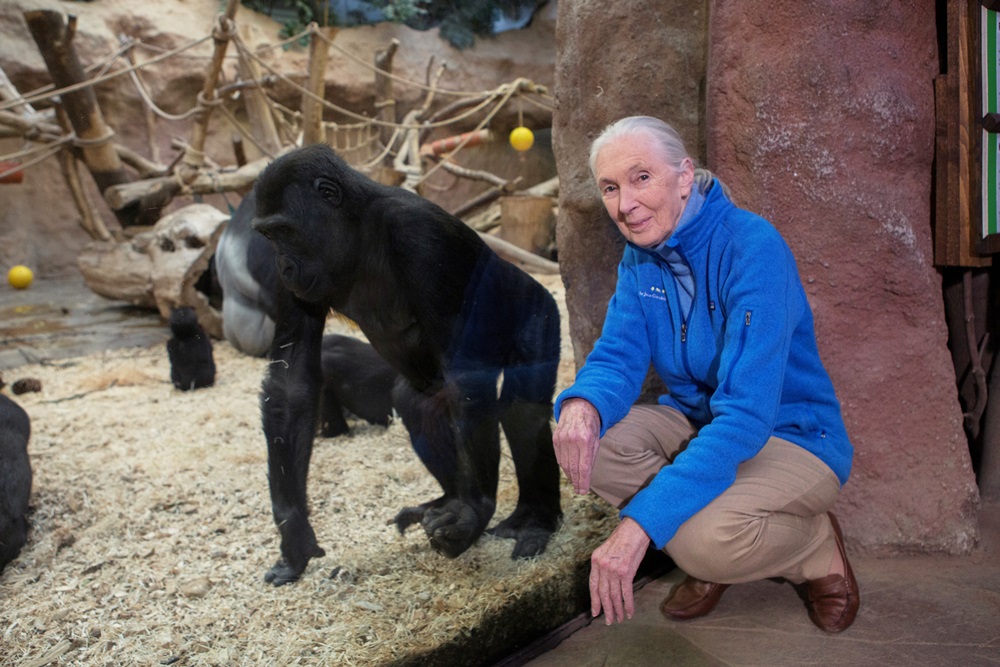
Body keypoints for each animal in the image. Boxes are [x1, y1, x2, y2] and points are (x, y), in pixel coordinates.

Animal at [250, 145, 564, 584]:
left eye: (285, 232)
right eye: (269, 236)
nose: (283, 264)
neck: (358, 230)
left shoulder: (420, 236)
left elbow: (468, 374)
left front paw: (475, 510)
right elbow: (291, 382)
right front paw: (294, 534)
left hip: (538, 310)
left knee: (522, 413)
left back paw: (534, 517)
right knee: (416, 404)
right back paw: (446, 500)